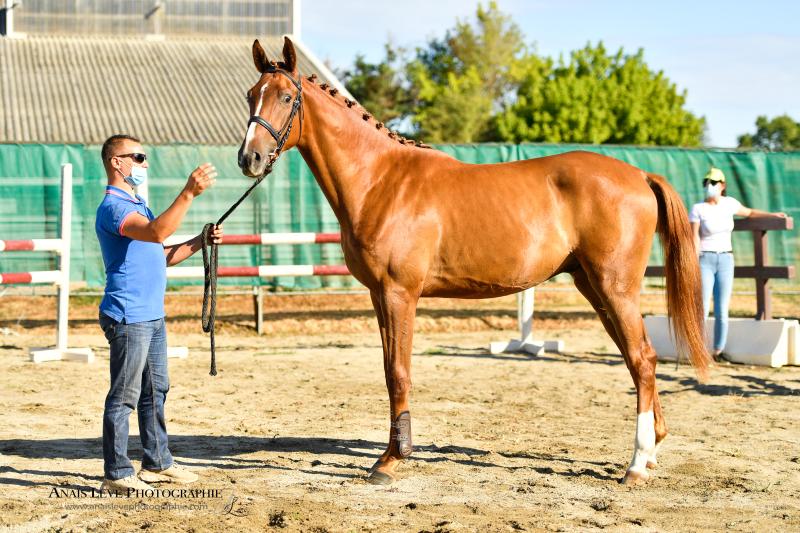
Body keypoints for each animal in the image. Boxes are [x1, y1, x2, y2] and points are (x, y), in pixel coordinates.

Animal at [237, 37, 709, 486]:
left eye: (285, 97)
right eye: (251, 95)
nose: (249, 158)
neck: (381, 180)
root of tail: (640, 175)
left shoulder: (399, 294)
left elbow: (399, 373)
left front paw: (391, 460)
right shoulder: (378, 296)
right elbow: (390, 371)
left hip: (615, 287)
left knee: (643, 360)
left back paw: (636, 464)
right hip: (593, 287)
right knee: (636, 359)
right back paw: (651, 451)